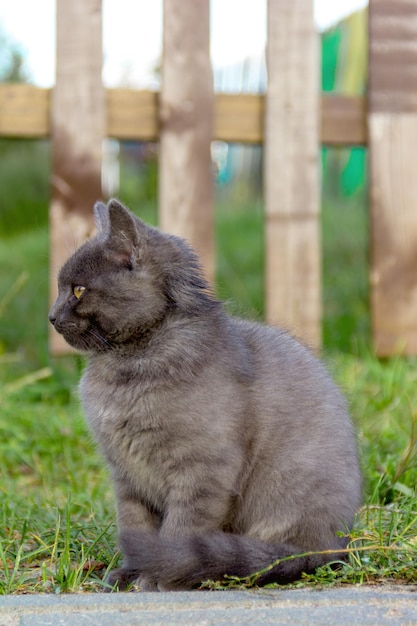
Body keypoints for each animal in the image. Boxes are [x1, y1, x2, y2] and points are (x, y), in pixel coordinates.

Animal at [49, 197, 360, 588]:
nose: (51, 316)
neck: (127, 366)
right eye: (62, 288)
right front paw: (129, 572)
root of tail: (333, 544)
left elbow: (181, 528)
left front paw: (158, 576)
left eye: (78, 289)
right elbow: (136, 525)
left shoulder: (203, 469)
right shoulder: (126, 476)